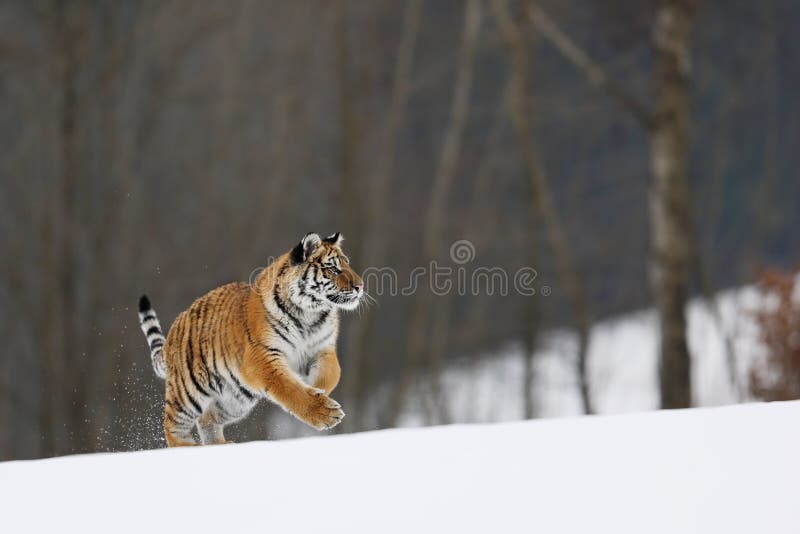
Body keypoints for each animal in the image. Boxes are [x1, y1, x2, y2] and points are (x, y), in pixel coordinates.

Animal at [137, 234, 362, 448]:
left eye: (347, 264)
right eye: (333, 268)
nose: (360, 286)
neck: (310, 315)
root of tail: (176, 325)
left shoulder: (322, 349)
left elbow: (330, 375)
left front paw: (318, 391)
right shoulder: (262, 356)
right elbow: (289, 388)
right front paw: (323, 411)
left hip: (235, 399)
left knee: (207, 419)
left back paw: (220, 446)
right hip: (188, 392)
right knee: (173, 425)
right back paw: (188, 448)